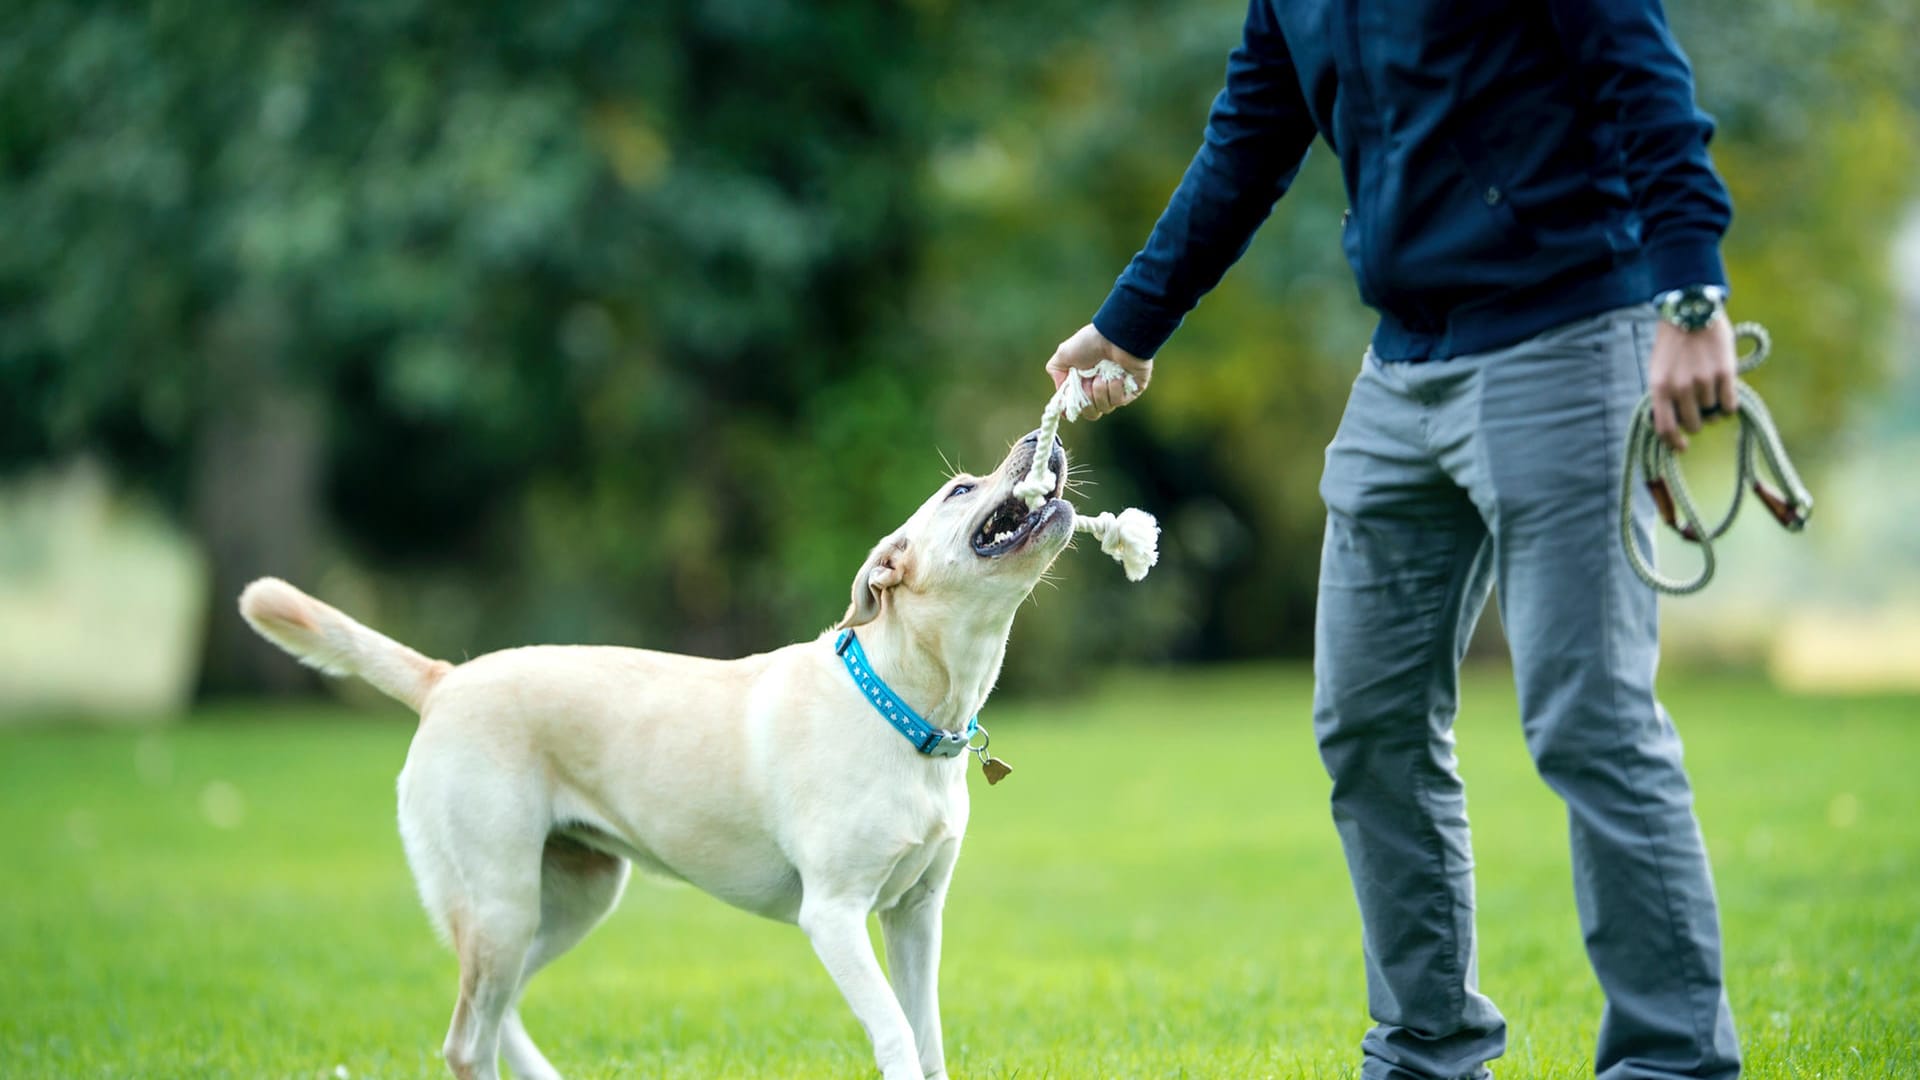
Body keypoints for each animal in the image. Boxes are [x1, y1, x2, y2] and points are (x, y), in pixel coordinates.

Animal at [238, 428, 1075, 1076]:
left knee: (498, 1016)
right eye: (961, 488)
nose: (1044, 437)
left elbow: (928, 1041)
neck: (905, 709)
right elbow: (897, 1033)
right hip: (501, 905)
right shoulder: (833, 914)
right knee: (465, 1044)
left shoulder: (916, 914)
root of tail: (445, 681)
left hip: (570, 901)